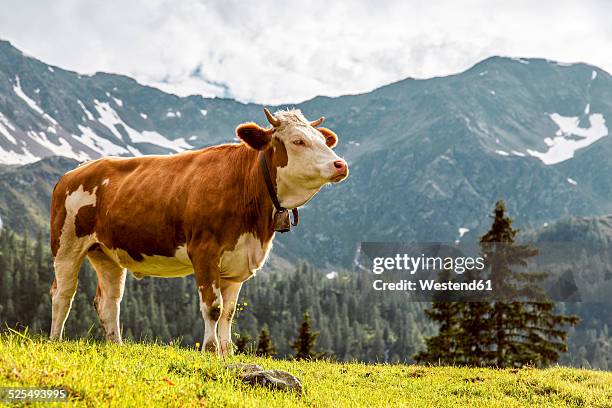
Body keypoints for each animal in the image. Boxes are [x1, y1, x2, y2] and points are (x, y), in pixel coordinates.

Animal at [49, 107, 346, 354]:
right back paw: (56, 340)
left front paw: (227, 354)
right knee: (63, 293)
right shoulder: (204, 251)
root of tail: (73, 173)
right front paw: (211, 350)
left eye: (322, 140)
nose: (340, 164)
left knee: (109, 301)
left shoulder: (238, 262)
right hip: (66, 246)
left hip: (106, 254)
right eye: (298, 141)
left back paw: (116, 345)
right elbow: (213, 308)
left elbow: (228, 312)